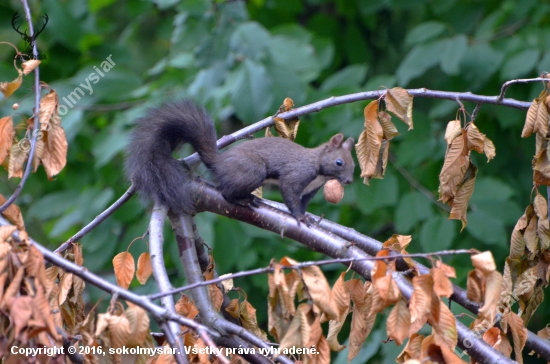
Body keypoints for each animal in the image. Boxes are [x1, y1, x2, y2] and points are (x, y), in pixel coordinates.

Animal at [124, 99, 358, 225]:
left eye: (354, 166)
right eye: (339, 162)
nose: (348, 181)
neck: (318, 169)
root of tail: (220, 163)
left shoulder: (310, 190)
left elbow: (302, 202)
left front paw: (305, 215)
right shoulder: (296, 175)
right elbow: (290, 195)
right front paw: (300, 218)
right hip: (253, 171)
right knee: (226, 193)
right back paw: (244, 200)